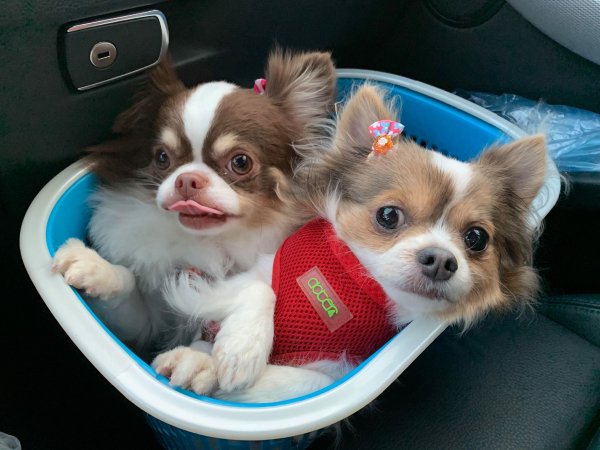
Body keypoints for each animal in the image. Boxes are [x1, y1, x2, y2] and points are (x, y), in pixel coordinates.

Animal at [52, 50, 337, 394]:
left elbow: (260, 288)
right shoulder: (144, 329)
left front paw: (235, 348)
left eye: (240, 162)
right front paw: (95, 268)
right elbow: (129, 283)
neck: (209, 244)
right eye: (162, 158)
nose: (187, 180)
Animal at [155, 83, 549, 402]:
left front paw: (213, 367)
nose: (440, 260)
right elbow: (259, 290)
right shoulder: (256, 272)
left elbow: (308, 383)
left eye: (476, 238)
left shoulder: (340, 366)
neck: (355, 282)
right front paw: (240, 350)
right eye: (388, 215)